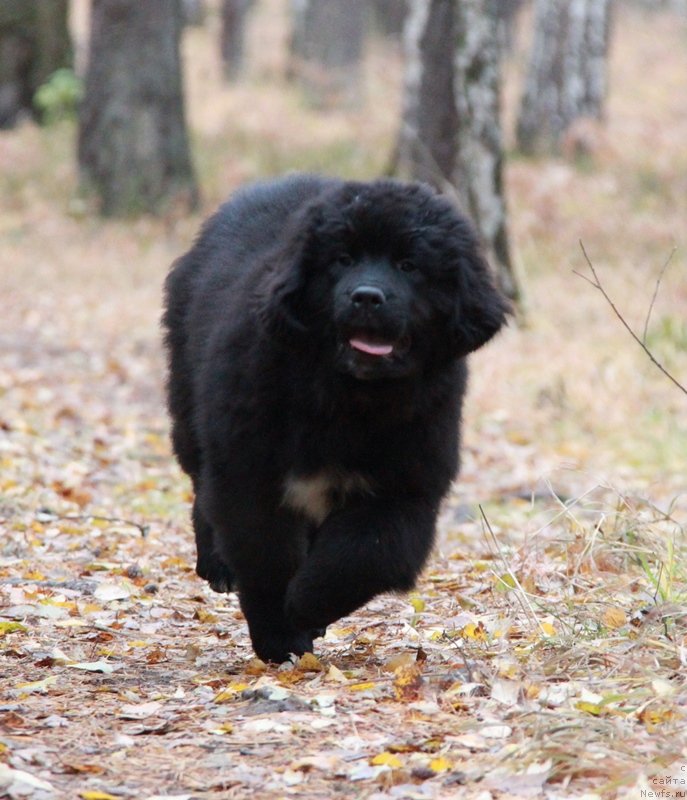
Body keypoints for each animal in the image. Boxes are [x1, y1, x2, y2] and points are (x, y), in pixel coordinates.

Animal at [160, 177, 506, 664]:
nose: (366, 297)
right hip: (191, 412)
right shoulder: (249, 471)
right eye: (343, 259)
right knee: (201, 487)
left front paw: (307, 606)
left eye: (409, 265)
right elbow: (265, 554)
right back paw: (217, 565)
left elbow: (361, 558)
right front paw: (280, 636)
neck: (344, 400)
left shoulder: (405, 488)